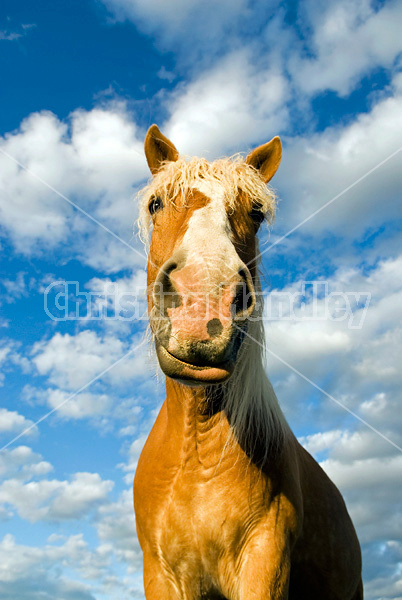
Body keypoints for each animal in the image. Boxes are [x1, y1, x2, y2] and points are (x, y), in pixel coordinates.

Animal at [133, 124, 362, 596]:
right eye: (156, 203)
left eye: (255, 213)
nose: (204, 303)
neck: (198, 455)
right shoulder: (161, 573)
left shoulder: (265, 556)